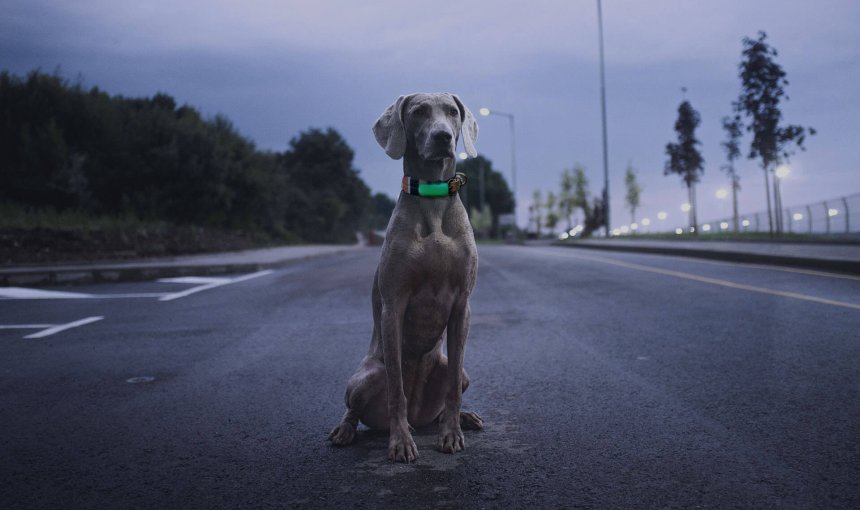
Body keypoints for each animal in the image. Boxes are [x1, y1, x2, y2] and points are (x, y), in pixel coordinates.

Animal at [330, 92, 484, 462]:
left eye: (453, 112)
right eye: (418, 112)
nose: (443, 137)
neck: (433, 200)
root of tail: (419, 415)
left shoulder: (462, 305)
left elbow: (453, 389)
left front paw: (451, 435)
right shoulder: (393, 304)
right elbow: (396, 388)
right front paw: (400, 443)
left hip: (455, 371)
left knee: (452, 386)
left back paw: (463, 418)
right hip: (365, 376)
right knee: (355, 408)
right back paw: (345, 430)